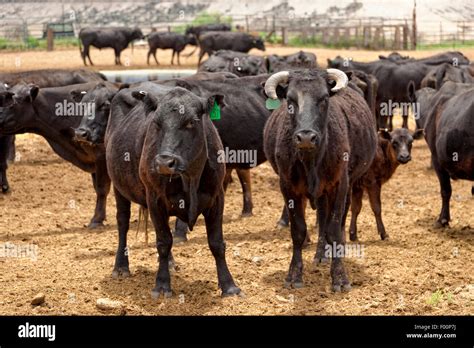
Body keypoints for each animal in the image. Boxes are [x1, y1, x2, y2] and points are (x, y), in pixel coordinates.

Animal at [104, 83, 241, 298]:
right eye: (156, 123)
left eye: (191, 122)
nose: (164, 162)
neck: (190, 178)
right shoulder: (155, 199)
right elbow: (163, 242)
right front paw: (162, 285)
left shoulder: (217, 197)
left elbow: (217, 243)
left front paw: (229, 286)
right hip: (119, 186)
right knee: (122, 223)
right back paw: (121, 267)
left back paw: (169, 263)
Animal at [262, 68, 378, 290]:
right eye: (290, 100)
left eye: (324, 98)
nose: (306, 137)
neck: (311, 161)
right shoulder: (288, 187)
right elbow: (298, 231)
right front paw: (294, 275)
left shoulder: (339, 185)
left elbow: (333, 230)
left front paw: (340, 277)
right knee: (322, 220)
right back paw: (321, 254)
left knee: (335, 222)